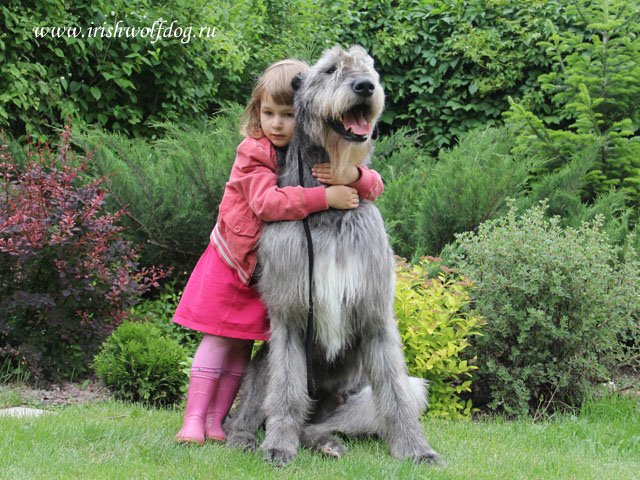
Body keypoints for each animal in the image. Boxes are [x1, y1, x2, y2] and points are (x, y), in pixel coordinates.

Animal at [224, 44, 440, 464]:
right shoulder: (289, 313)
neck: (328, 213)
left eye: (369, 67)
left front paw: (416, 449)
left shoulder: (376, 310)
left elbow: (394, 392)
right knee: (256, 409)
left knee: (334, 420)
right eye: (328, 70)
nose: (365, 86)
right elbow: (286, 393)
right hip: (261, 366)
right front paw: (278, 445)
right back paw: (244, 436)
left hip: (388, 392)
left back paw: (325, 441)